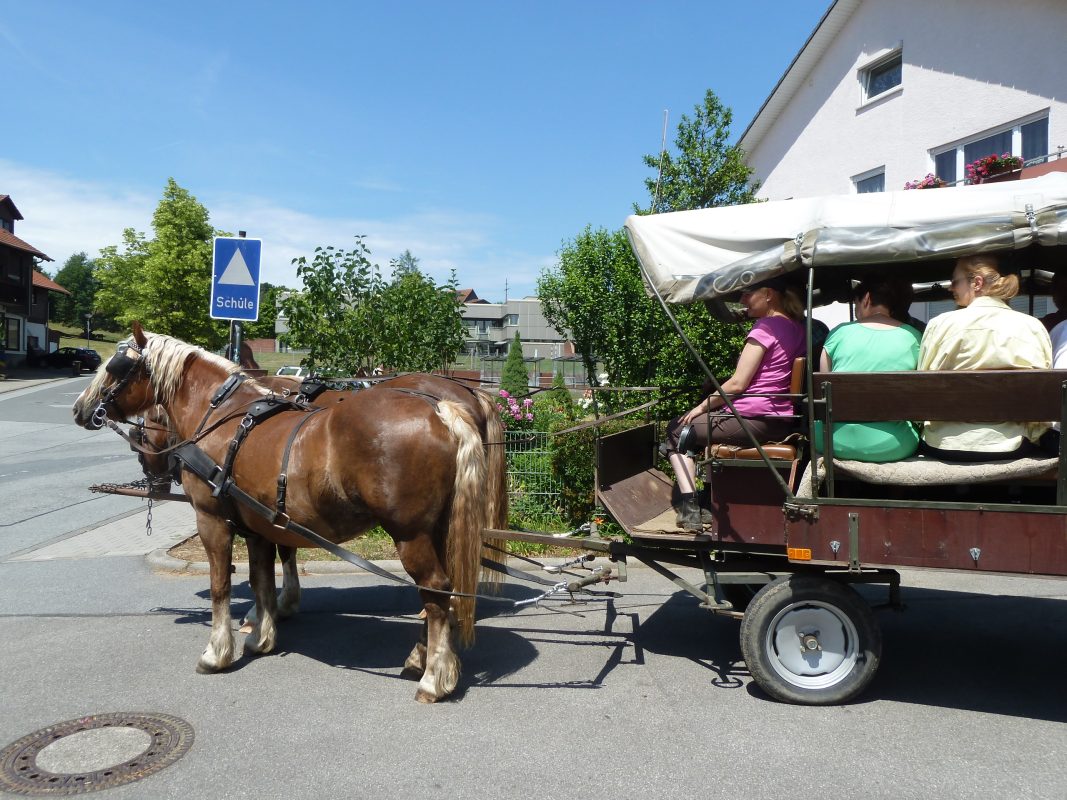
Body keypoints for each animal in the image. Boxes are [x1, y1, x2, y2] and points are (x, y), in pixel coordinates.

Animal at [76, 322, 507, 704]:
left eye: (115, 367)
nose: (81, 409)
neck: (221, 417)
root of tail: (444, 409)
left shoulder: (213, 520)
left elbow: (221, 585)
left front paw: (217, 652)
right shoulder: (260, 524)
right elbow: (261, 578)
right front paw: (261, 633)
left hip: (409, 533)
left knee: (434, 589)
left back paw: (434, 678)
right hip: (439, 528)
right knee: (443, 591)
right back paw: (423, 657)